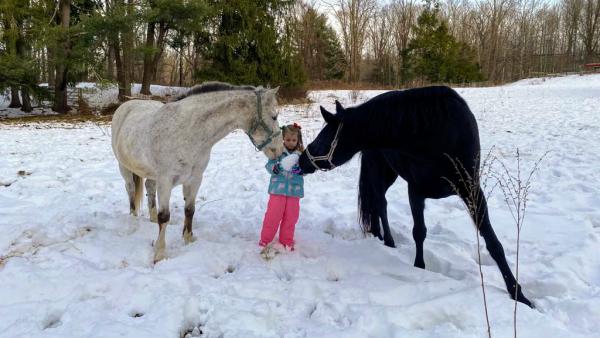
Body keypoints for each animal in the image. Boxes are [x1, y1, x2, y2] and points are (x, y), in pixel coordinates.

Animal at [300, 86, 536, 306]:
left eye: (322, 140)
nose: (302, 161)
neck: (438, 137)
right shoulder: (415, 190)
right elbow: (419, 232)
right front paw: (419, 268)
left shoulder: (473, 192)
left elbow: (493, 243)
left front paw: (519, 294)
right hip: (379, 169)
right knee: (380, 203)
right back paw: (388, 241)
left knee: (377, 204)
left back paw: (379, 235)